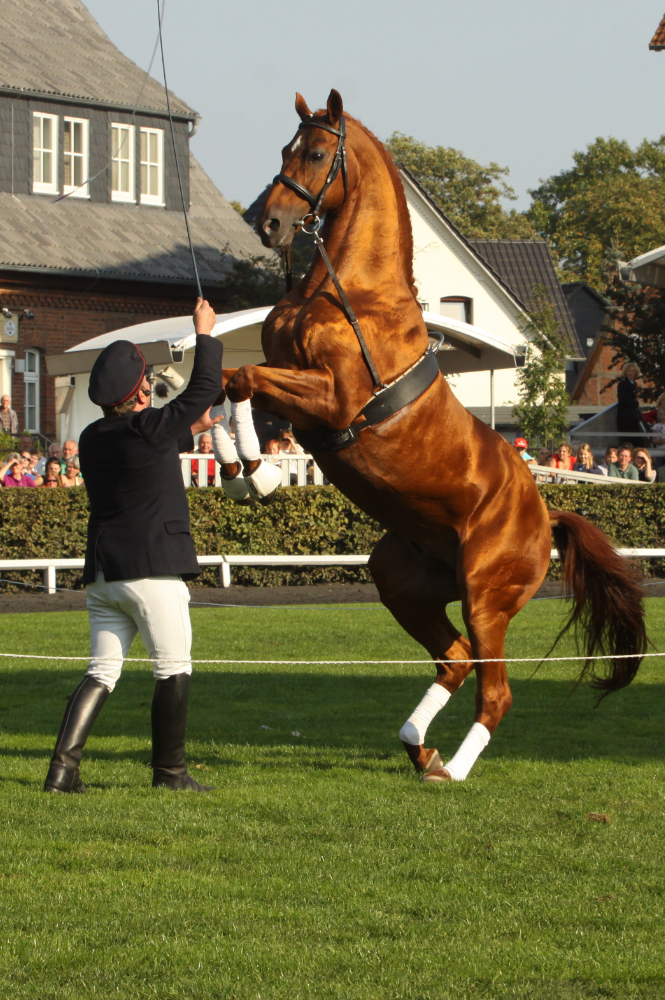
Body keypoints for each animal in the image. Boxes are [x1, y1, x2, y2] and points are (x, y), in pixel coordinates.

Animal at [223, 92, 644, 780]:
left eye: (317, 153)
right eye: (287, 149)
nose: (271, 224)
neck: (348, 291)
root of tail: (545, 513)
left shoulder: (331, 398)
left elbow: (241, 380)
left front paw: (254, 472)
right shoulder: (295, 391)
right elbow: (232, 384)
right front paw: (241, 470)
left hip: (485, 597)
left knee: (494, 690)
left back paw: (456, 769)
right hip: (401, 582)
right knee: (454, 658)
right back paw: (421, 748)